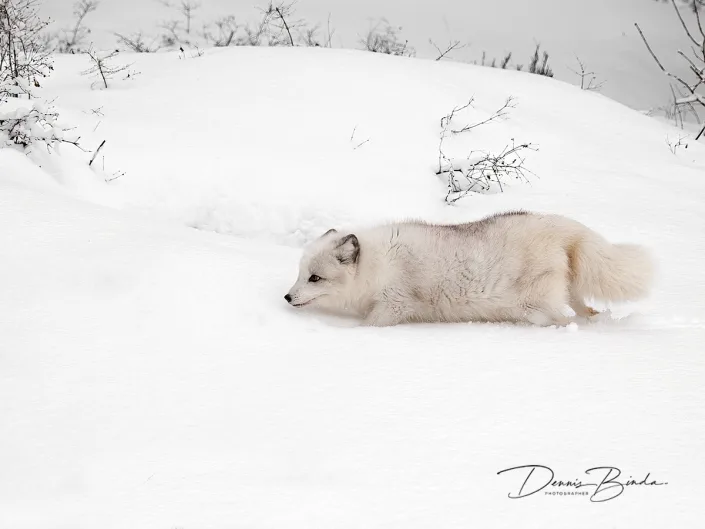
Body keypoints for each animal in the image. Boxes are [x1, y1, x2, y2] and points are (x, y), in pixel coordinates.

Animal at [284, 211, 654, 327]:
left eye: (315, 278)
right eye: (300, 274)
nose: (287, 297)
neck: (376, 266)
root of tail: (558, 223)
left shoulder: (395, 304)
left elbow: (369, 326)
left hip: (533, 307)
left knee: (562, 321)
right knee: (582, 309)